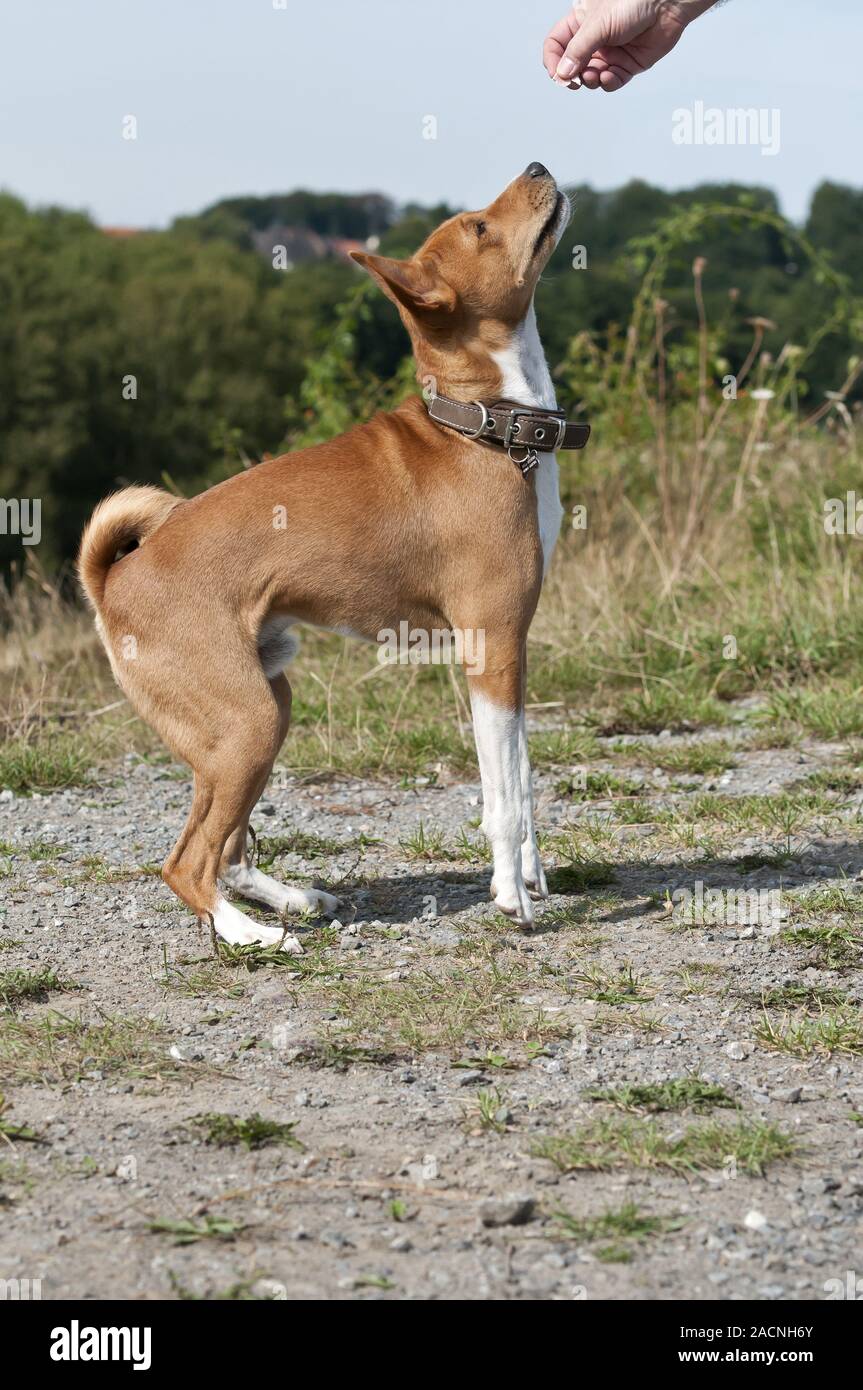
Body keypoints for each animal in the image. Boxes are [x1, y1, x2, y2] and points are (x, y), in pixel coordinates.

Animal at [77, 157, 589, 950]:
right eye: (479, 226)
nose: (537, 165)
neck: (486, 428)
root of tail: (116, 576)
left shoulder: (513, 651)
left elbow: (525, 779)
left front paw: (533, 874)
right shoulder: (492, 644)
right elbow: (504, 794)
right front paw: (510, 896)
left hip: (263, 713)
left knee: (226, 851)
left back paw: (289, 899)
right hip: (245, 724)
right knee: (186, 863)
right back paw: (253, 937)